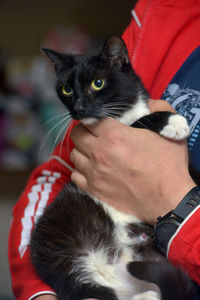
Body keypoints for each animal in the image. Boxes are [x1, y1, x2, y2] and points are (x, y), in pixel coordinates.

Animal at [30, 35, 194, 300]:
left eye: (98, 83)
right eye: (67, 89)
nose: (78, 107)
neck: (121, 115)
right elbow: (139, 123)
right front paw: (173, 121)